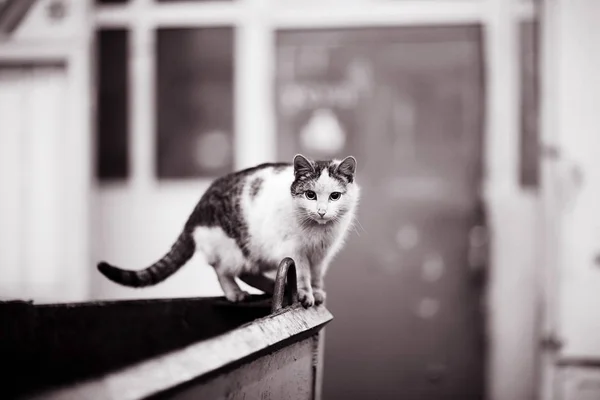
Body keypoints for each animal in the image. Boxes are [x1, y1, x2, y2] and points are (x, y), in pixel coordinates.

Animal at [98, 155, 360, 308]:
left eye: (335, 196)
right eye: (310, 195)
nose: (322, 211)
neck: (319, 231)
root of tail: (198, 207)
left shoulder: (321, 255)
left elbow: (316, 275)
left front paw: (317, 292)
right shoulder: (294, 250)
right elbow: (303, 274)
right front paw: (305, 295)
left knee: (248, 272)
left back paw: (276, 287)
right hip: (230, 247)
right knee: (224, 270)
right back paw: (237, 293)